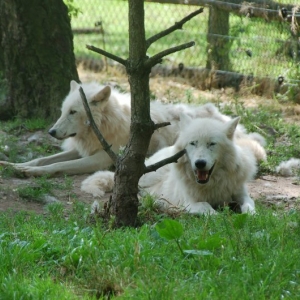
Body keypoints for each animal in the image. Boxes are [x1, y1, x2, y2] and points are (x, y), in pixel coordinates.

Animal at [0, 81, 232, 177]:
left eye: (73, 112)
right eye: (63, 111)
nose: (51, 132)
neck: (105, 126)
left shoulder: (100, 159)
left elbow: (57, 166)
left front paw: (29, 172)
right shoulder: (82, 150)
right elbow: (41, 159)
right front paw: (14, 165)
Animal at [81, 113, 266, 214]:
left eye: (212, 144)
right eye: (193, 143)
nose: (200, 163)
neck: (212, 185)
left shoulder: (242, 195)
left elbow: (250, 206)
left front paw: (251, 215)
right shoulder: (190, 202)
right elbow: (207, 207)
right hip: (150, 175)